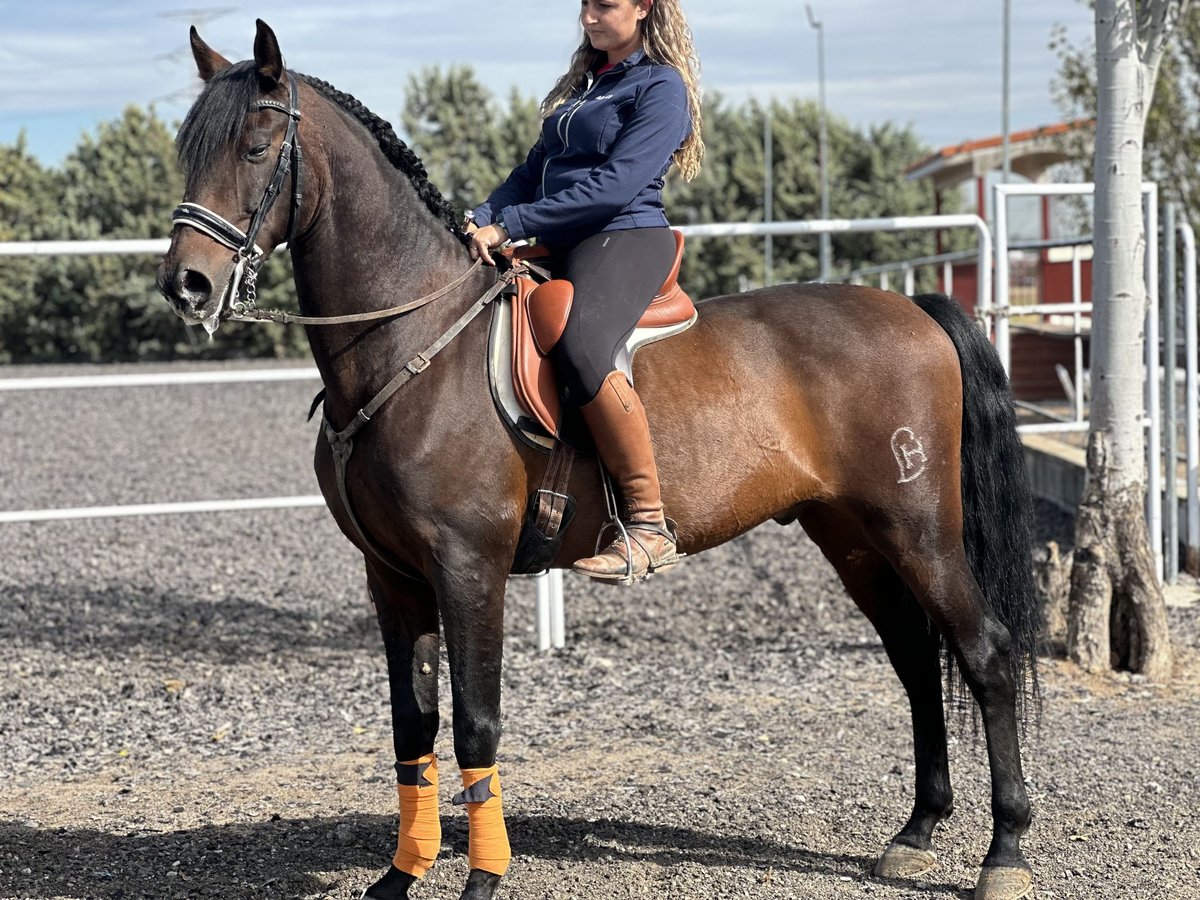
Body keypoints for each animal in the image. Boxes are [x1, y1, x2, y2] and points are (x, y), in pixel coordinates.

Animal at [157, 19, 1041, 900]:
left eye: (256, 146)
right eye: (188, 152)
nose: (186, 286)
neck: (414, 341)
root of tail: (910, 308)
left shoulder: (467, 565)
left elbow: (476, 724)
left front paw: (483, 879)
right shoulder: (393, 574)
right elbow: (414, 724)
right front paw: (400, 877)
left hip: (918, 528)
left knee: (986, 654)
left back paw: (1004, 854)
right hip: (851, 533)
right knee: (914, 657)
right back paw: (916, 831)